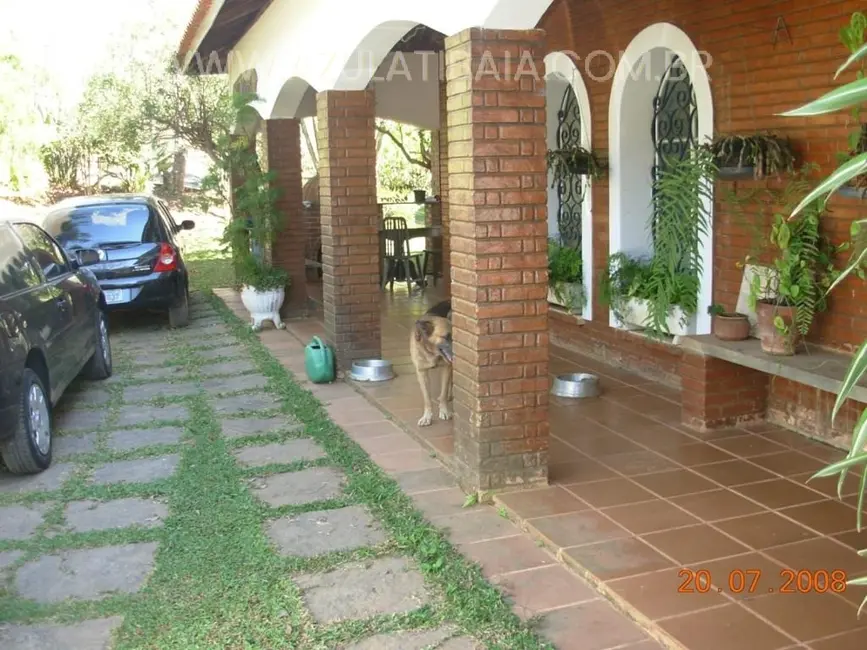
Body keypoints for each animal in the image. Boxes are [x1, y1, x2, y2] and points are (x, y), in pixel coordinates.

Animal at [412, 298, 454, 426]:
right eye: (445, 337)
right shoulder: (421, 373)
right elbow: (427, 398)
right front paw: (427, 417)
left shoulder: (446, 368)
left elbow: (443, 392)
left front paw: (444, 411)